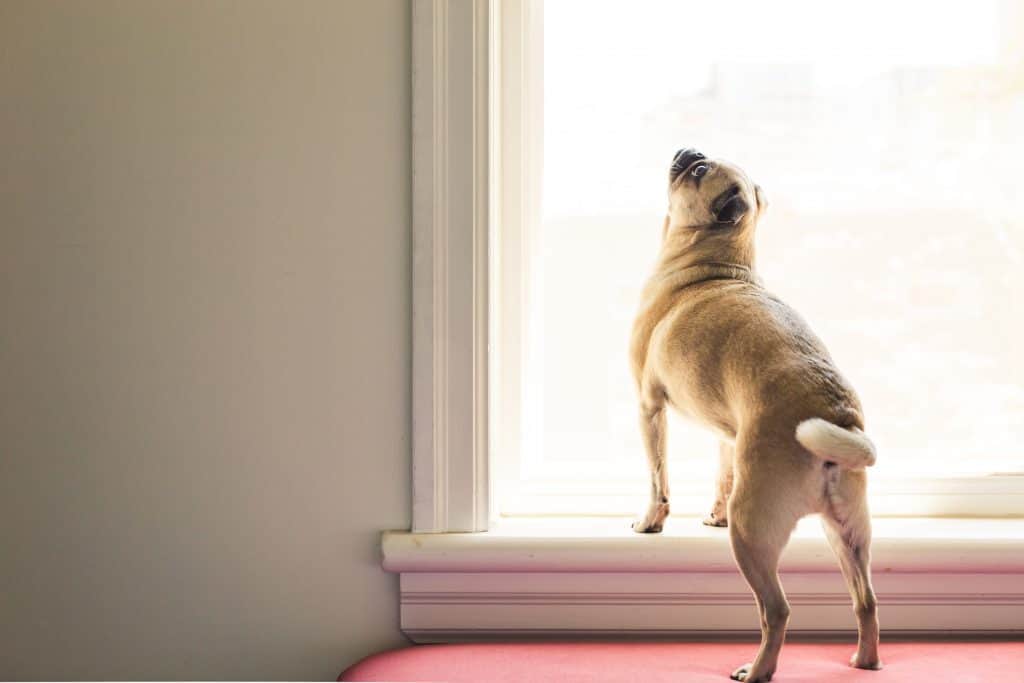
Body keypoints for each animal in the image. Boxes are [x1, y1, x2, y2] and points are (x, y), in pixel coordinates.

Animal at [630, 149, 880, 683]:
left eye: (700, 171)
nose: (688, 151)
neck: (718, 265)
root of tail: (833, 410)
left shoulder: (648, 406)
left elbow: (658, 478)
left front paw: (650, 521)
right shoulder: (728, 436)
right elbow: (722, 474)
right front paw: (713, 515)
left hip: (752, 534)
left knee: (777, 610)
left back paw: (758, 669)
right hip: (847, 533)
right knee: (866, 600)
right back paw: (864, 660)